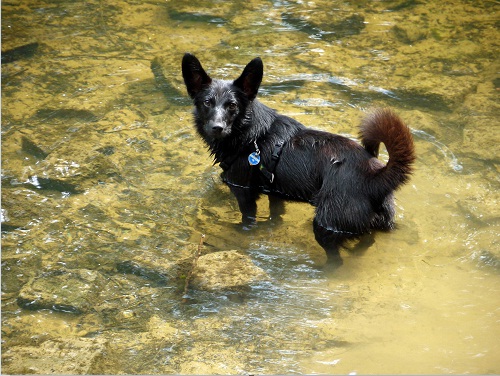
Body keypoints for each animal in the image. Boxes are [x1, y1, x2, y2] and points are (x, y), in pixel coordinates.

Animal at [182, 53, 416, 264]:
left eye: (232, 105)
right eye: (207, 103)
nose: (217, 128)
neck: (252, 135)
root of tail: (376, 176)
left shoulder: (243, 191)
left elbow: (247, 220)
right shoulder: (274, 191)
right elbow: (276, 215)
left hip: (327, 222)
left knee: (336, 260)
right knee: (368, 240)